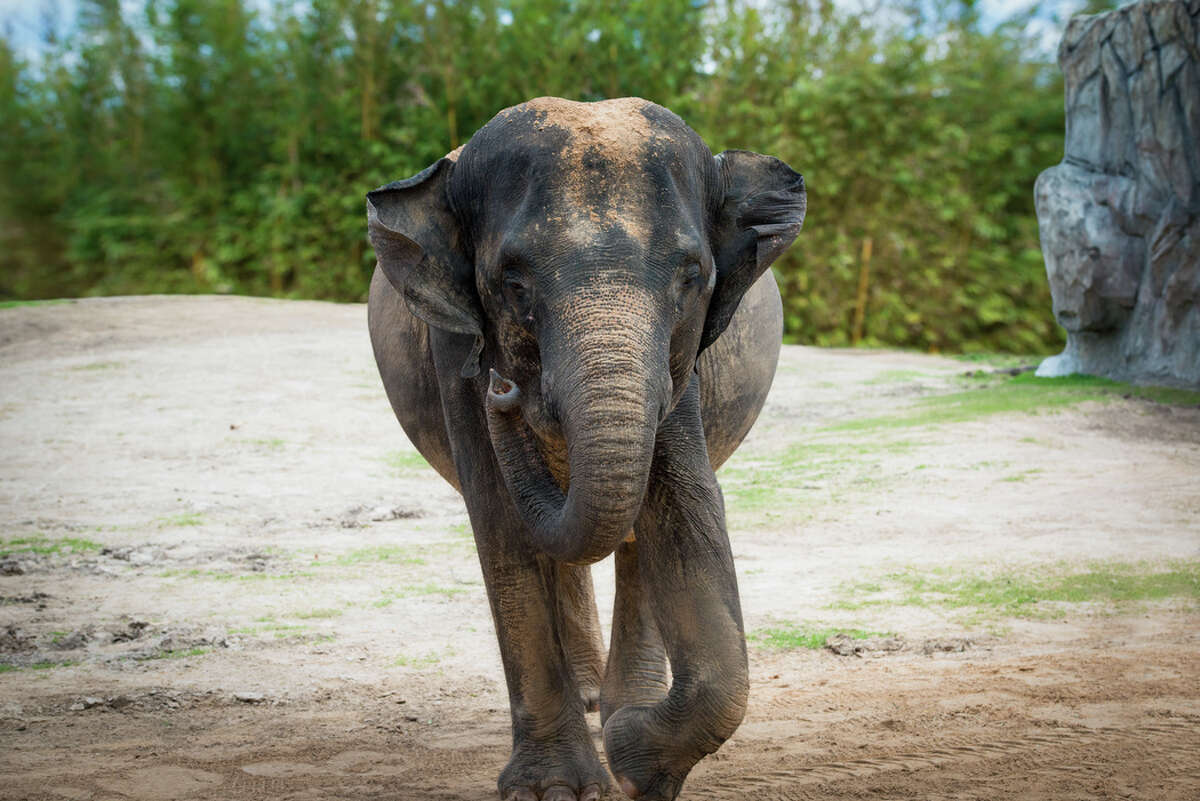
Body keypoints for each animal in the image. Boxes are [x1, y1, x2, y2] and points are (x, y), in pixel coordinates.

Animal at [367, 98, 806, 801]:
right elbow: (501, 530)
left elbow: (684, 516)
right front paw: (556, 790)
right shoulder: (454, 349)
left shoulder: (682, 363)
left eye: (692, 277)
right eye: (512, 281)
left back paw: (618, 704)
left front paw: (633, 762)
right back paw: (593, 701)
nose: (503, 388)